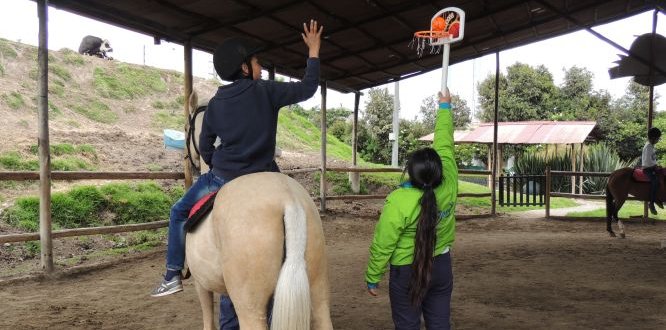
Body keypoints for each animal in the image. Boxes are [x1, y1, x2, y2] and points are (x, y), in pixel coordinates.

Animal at [183, 91, 330, 328]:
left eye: (186, 126)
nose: (189, 159)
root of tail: (288, 200)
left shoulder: (201, 283)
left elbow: (209, 320)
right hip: (318, 290)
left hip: (250, 307)